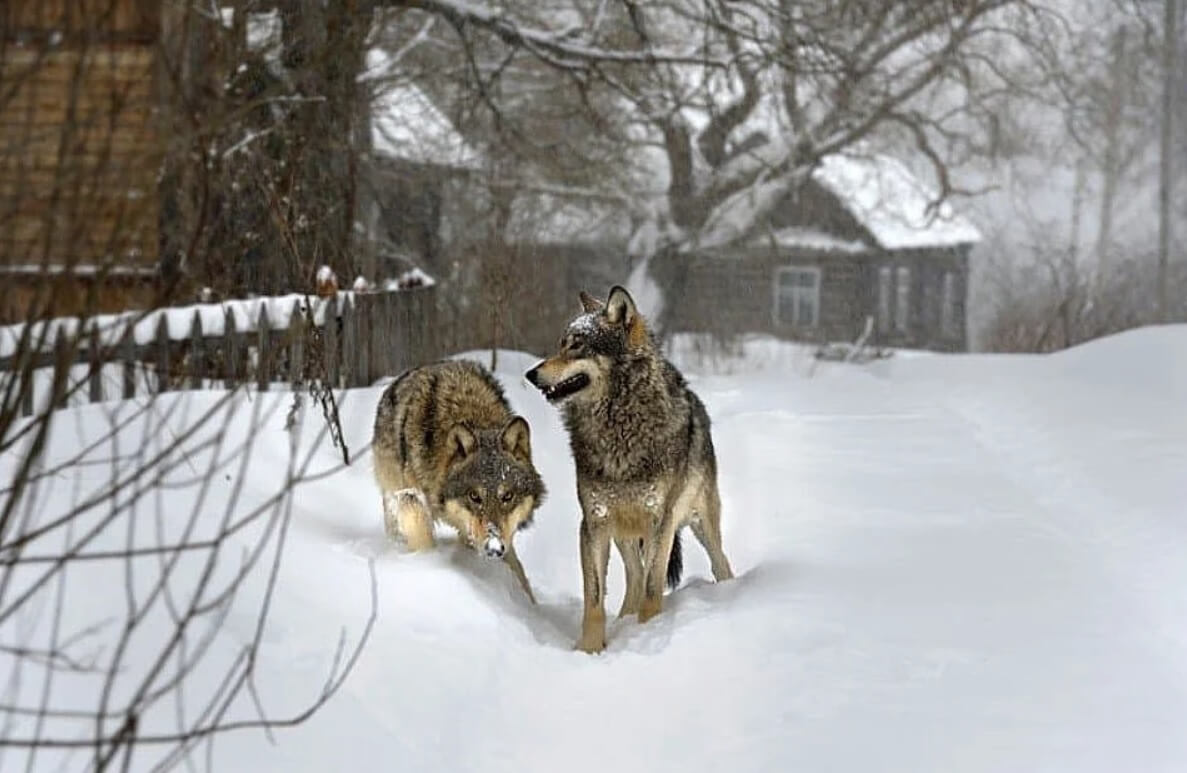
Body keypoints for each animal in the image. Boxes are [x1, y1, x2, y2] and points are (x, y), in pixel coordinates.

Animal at [370, 360, 546, 600]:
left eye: (507, 496)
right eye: (474, 496)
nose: (494, 549)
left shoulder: (496, 536)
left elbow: (518, 571)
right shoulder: (412, 499)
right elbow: (423, 540)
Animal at [527, 286, 731, 655]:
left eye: (576, 345)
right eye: (561, 343)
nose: (531, 374)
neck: (618, 427)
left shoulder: (660, 522)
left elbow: (653, 589)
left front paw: (648, 636)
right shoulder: (594, 522)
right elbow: (594, 599)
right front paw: (590, 649)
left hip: (700, 524)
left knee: (718, 562)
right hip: (623, 534)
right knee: (634, 579)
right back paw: (624, 621)